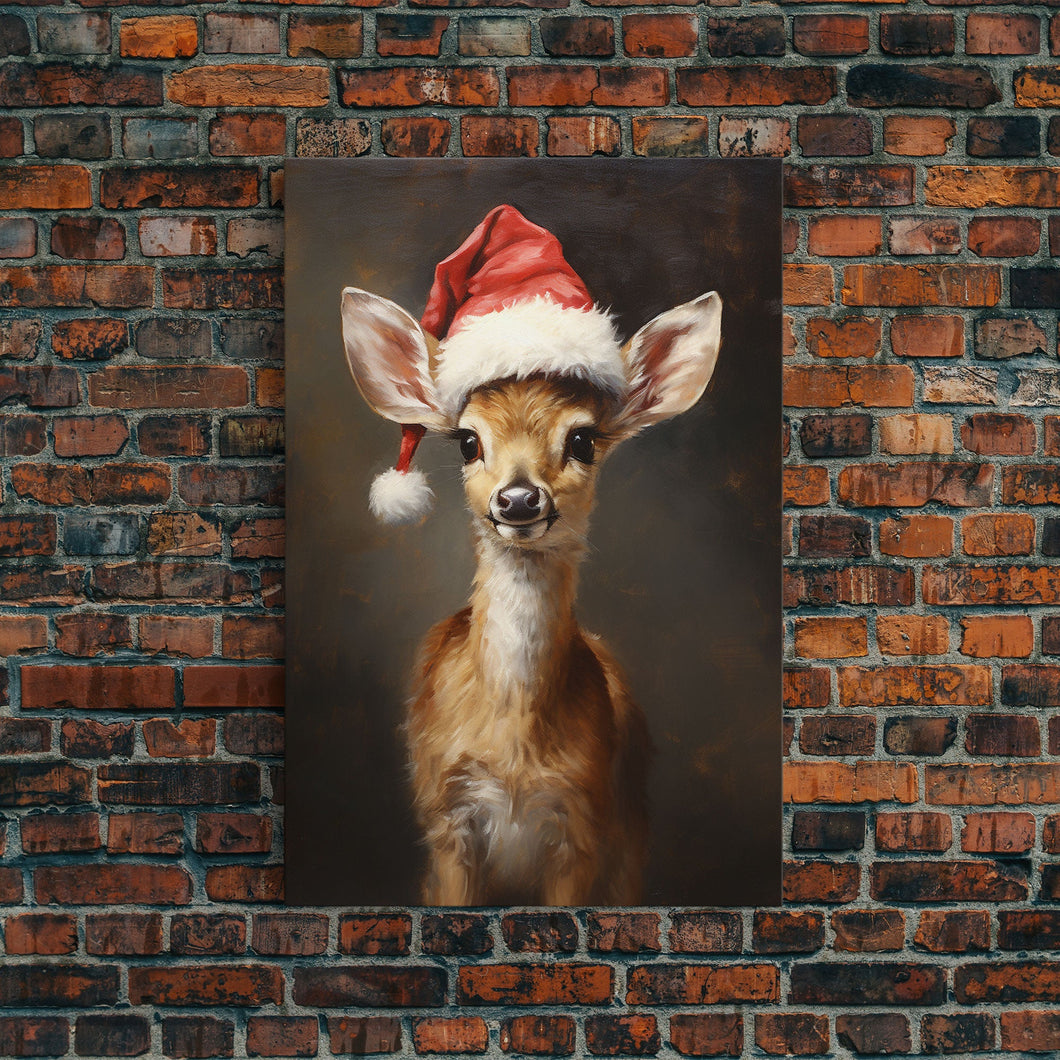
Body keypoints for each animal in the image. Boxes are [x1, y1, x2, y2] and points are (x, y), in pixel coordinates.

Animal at [341, 205, 721, 905]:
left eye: (584, 439)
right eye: (468, 441)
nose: (518, 498)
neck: (514, 748)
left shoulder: (583, 823)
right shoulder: (444, 818)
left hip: (632, 832)